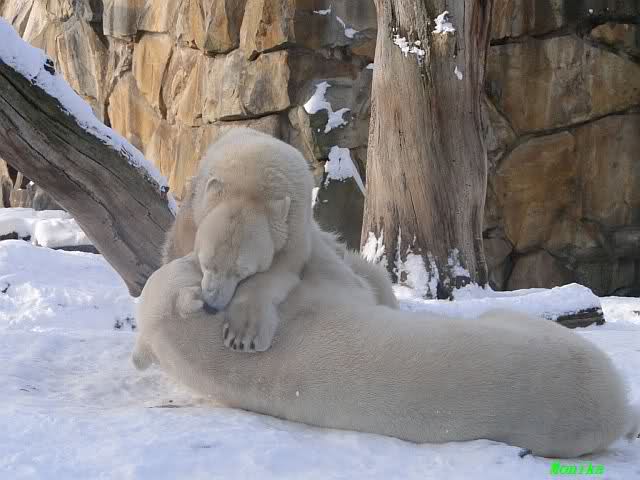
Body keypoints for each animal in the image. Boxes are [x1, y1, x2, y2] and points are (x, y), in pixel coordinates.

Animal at [134, 211, 639, 458]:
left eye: (189, 261)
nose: (186, 254)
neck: (213, 361)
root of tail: (612, 410)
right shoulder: (312, 309)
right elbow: (342, 279)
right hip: (556, 358)